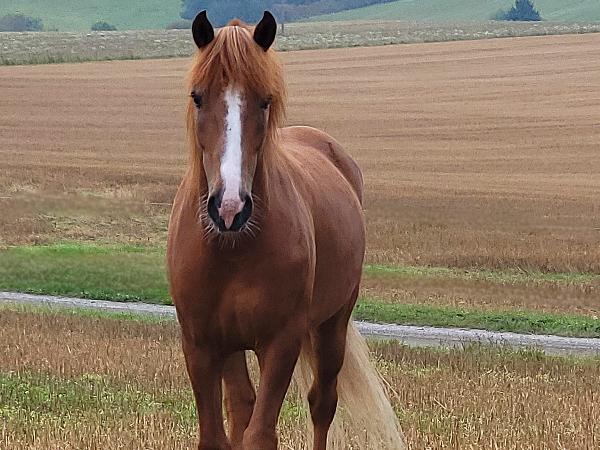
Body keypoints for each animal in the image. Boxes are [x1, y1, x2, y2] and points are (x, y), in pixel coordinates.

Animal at [166, 10, 406, 450]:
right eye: (197, 96)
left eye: (265, 100)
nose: (229, 207)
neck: (233, 249)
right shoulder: (201, 344)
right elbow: (219, 433)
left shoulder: (281, 344)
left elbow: (261, 434)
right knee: (241, 406)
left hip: (332, 325)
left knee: (322, 404)